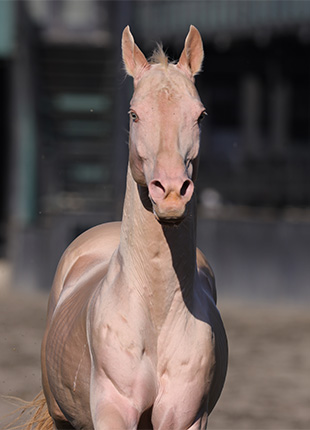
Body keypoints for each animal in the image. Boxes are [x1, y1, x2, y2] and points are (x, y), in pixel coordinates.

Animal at [37, 24, 228, 430]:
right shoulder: (114, 409)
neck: (155, 314)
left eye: (201, 115)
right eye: (134, 113)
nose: (170, 193)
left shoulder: (186, 417)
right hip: (62, 416)